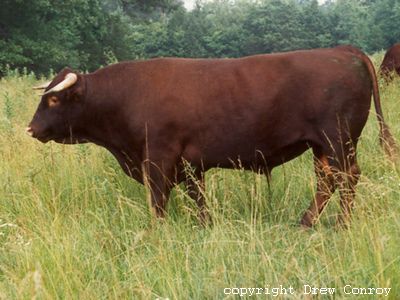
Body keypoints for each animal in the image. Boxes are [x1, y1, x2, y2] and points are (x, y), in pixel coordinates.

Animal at [27, 46, 396, 225]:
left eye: (54, 99)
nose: (31, 128)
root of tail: (344, 50)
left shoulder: (158, 158)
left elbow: (157, 201)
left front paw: (157, 231)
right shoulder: (191, 164)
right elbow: (198, 199)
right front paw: (206, 224)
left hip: (338, 140)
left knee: (346, 177)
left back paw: (341, 224)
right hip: (321, 146)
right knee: (327, 180)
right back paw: (306, 221)